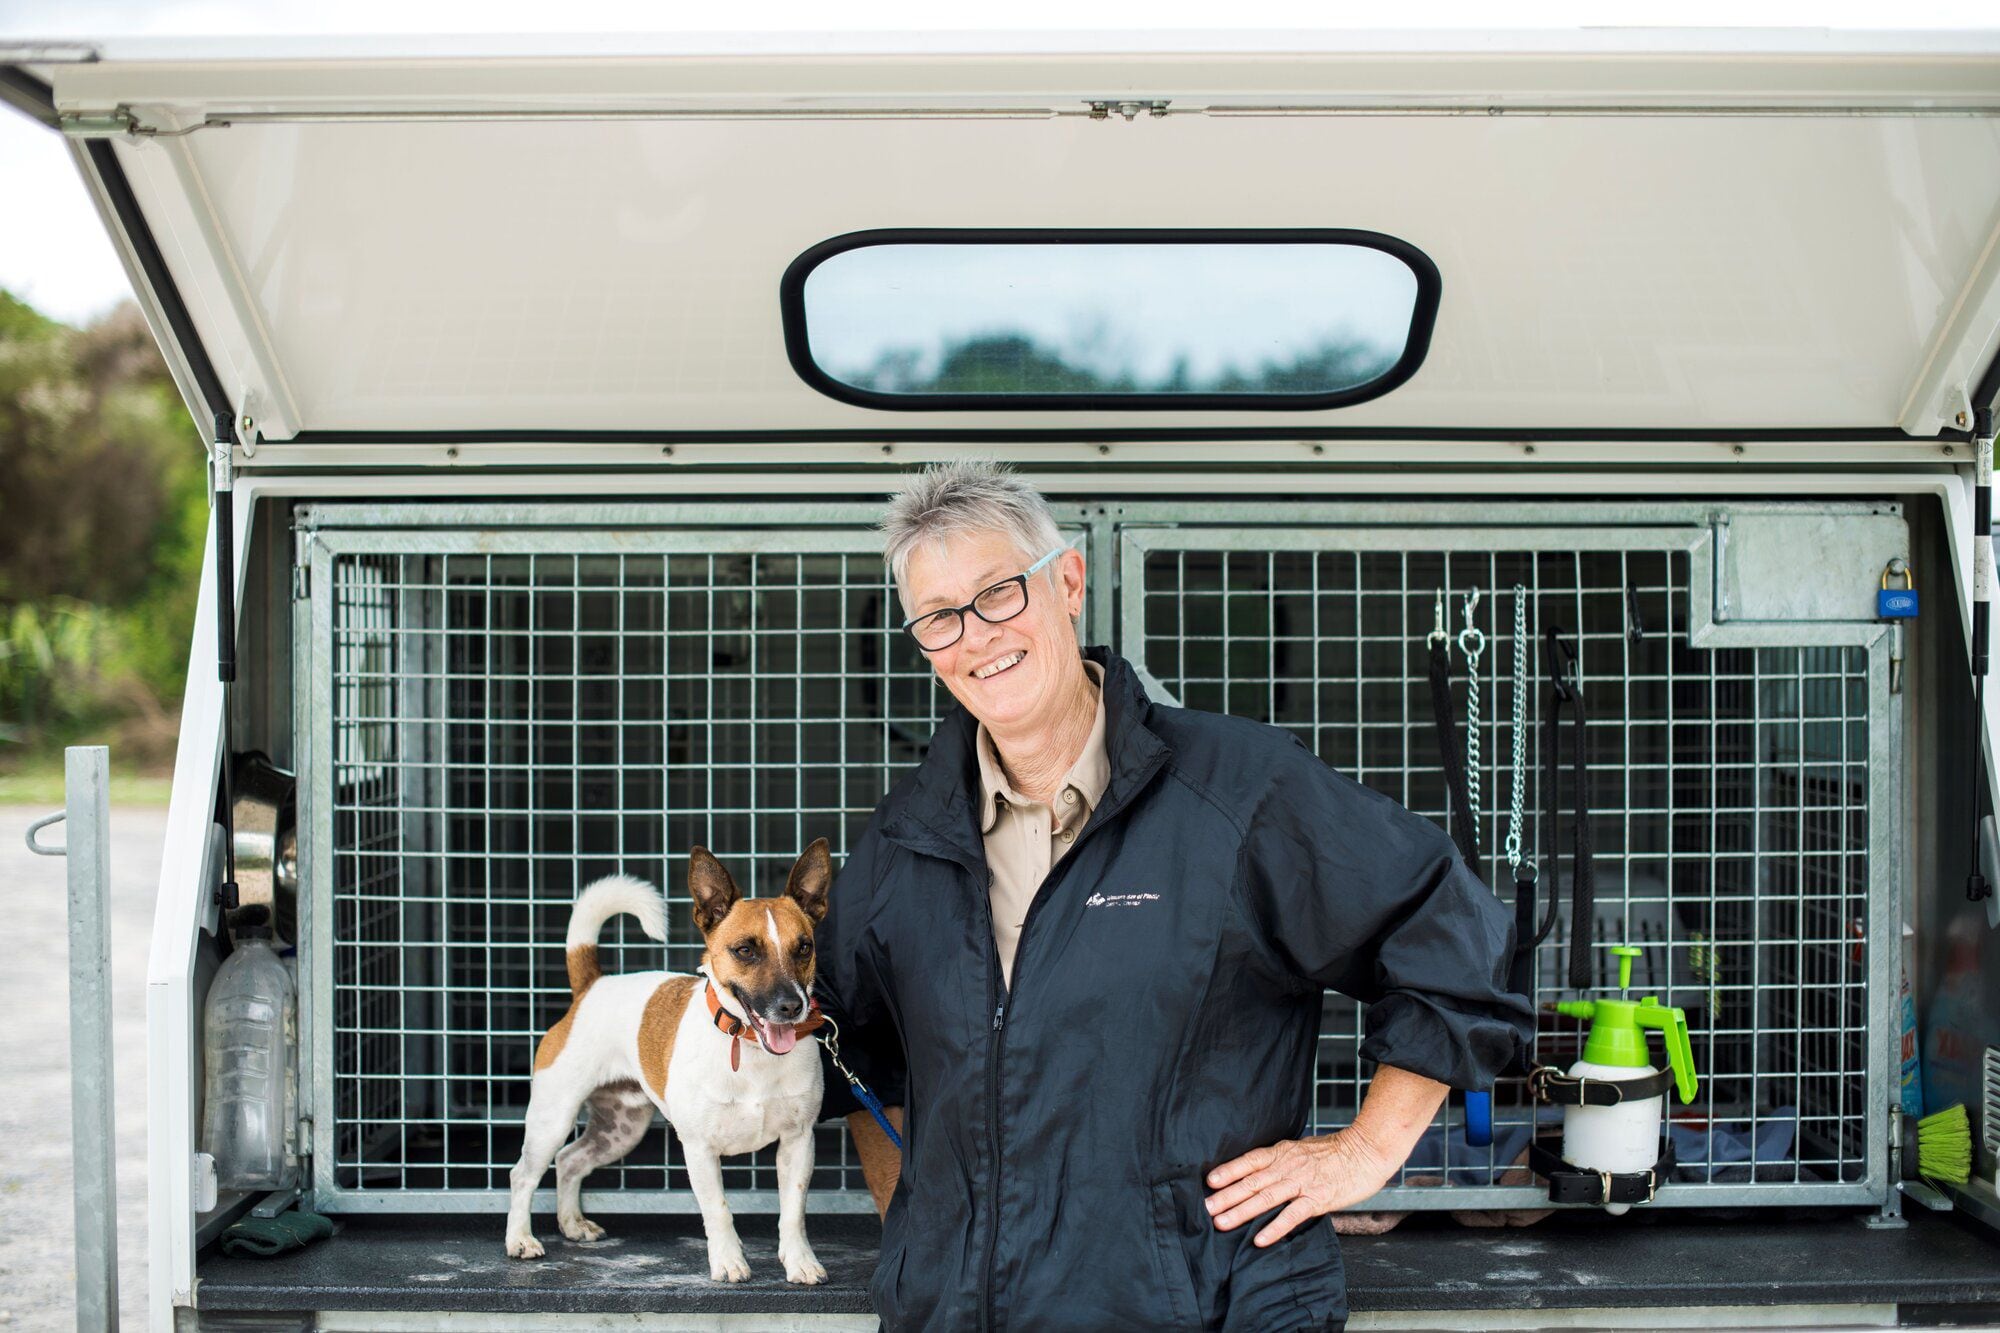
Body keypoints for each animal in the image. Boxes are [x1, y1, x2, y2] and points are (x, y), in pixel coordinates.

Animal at [516, 836, 836, 1280]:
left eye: (804, 947)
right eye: (745, 951)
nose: (792, 1007)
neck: (749, 1048)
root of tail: (591, 986)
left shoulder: (798, 1143)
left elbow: (793, 1214)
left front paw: (800, 1262)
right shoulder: (700, 1148)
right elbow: (718, 1211)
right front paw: (728, 1262)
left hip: (621, 1129)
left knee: (569, 1161)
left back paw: (572, 1223)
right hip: (552, 1118)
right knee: (524, 1175)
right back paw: (520, 1240)